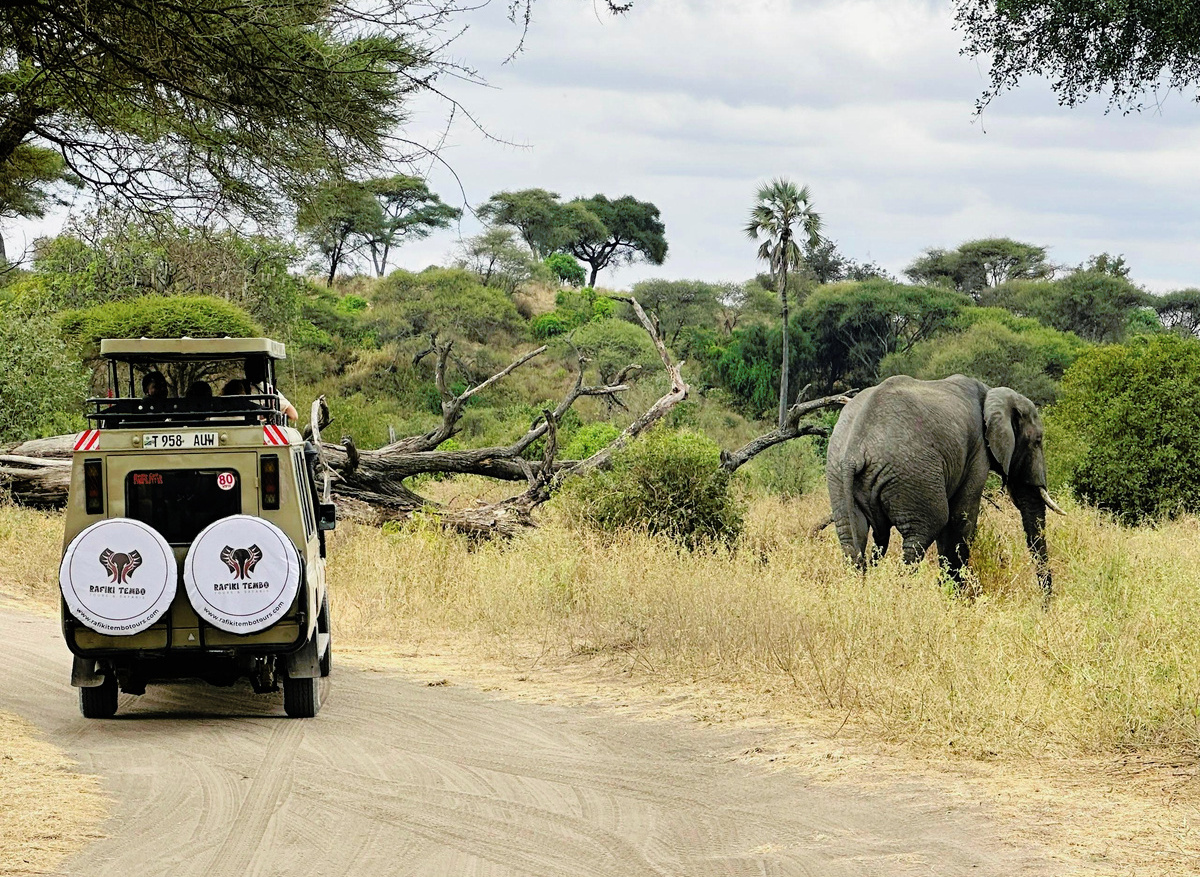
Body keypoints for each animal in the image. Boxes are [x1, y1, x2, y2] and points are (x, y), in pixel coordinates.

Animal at [825, 374, 1064, 594]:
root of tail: (855, 451)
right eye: (1038, 441)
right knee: (922, 533)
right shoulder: (978, 451)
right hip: (913, 473)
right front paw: (956, 596)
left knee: (852, 540)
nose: (1045, 606)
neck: (991, 393)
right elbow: (960, 518)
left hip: (838, 478)